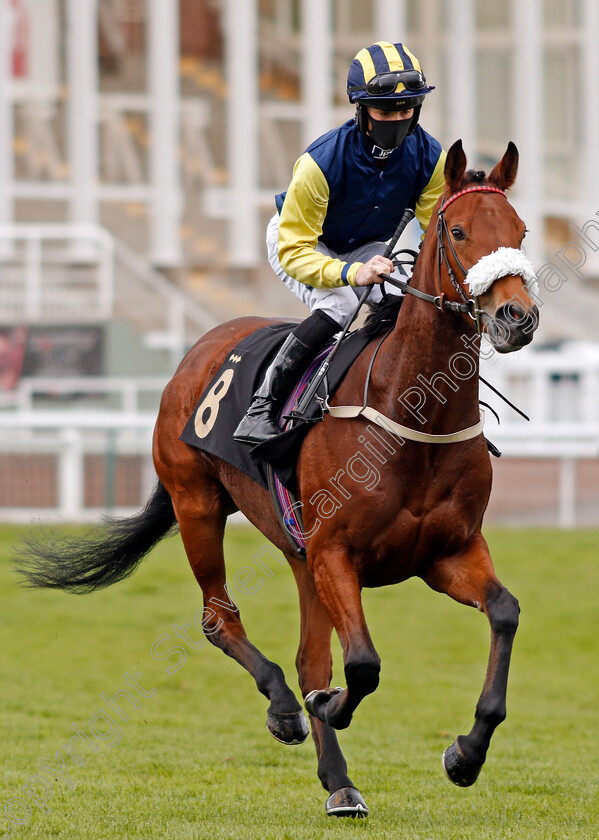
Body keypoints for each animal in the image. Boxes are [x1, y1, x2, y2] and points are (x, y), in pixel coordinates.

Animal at [16, 141, 540, 816]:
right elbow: (363, 664)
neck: (412, 413)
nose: (516, 316)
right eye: (458, 231)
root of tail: (202, 346)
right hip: (198, 505)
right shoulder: (336, 552)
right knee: (221, 619)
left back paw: (339, 781)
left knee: (309, 657)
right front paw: (327, 708)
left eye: (521, 231)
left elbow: (504, 612)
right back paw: (288, 710)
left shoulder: (445, 553)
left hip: (298, 556)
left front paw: (465, 754)